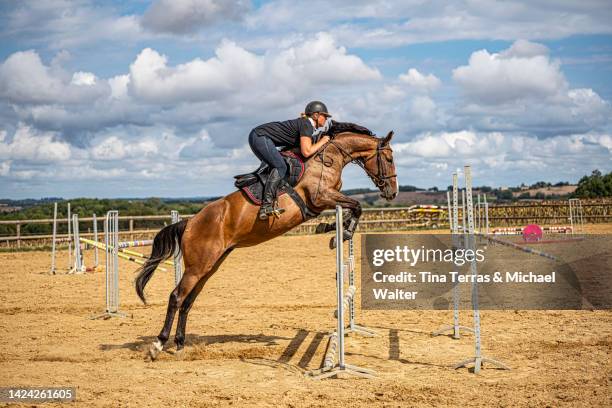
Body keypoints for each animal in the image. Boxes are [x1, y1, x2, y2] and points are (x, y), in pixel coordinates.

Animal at [136, 131, 400, 360]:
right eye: (388, 158)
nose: (392, 192)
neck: (327, 157)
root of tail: (190, 222)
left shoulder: (325, 200)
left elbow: (353, 207)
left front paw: (335, 230)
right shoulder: (320, 196)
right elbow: (357, 205)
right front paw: (340, 233)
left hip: (209, 266)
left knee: (188, 301)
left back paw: (180, 345)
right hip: (197, 266)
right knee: (176, 297)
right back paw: (158, 344)